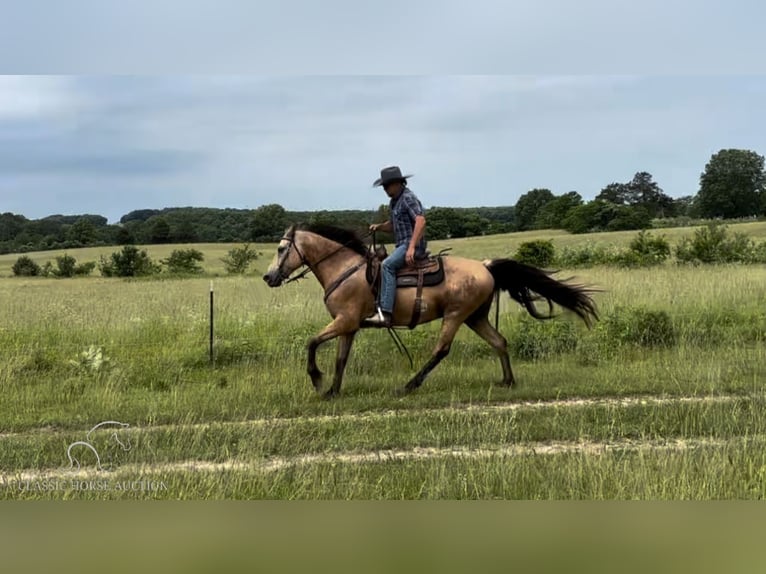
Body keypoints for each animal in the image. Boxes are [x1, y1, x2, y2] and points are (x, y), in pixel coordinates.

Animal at [264, 224, 600, 400]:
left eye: (281, 249)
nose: (269, 277)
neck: (346, 269)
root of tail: (485, 266)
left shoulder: (343, 321)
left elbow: (311, 342)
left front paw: (317, 380)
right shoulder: (350, 326)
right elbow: (340, 359)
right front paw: (333, 390)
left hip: (456, 315)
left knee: (441, 349)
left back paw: (410, 384)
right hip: (475, 317)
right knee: (499, 342)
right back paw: (507, 381)